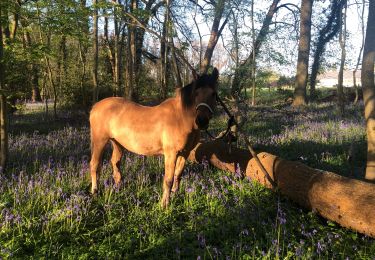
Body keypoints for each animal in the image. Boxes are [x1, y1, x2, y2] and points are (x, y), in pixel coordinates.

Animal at [90, 68, 220, 208]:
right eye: (196, 93)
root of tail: (95, 106)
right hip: (100, 141)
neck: (181, 119)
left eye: (213, 94)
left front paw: (175, 195)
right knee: (95, 164)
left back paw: (119, 187)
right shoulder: (171, 154)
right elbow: (168, 179)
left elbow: (178, 175)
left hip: (118, 143)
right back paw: (95, 191)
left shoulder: (184, 153)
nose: (202, 121)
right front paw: (164, 204)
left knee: (115, 162)